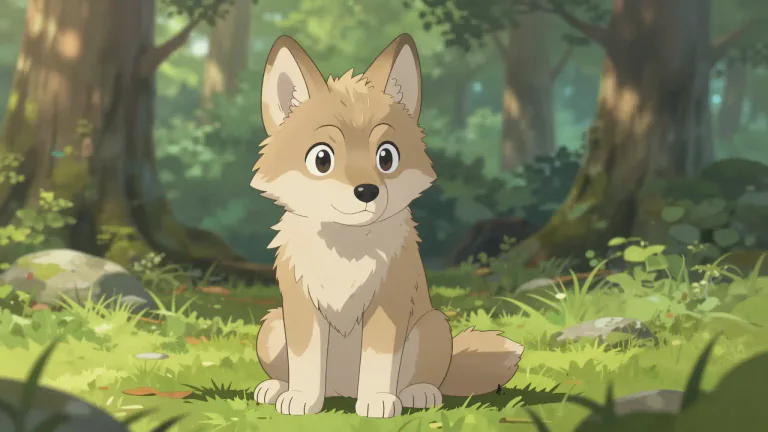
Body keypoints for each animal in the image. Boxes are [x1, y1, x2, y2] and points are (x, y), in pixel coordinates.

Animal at [250, 33, 524, 418]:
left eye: (386, 156)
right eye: (322, 159)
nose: (367, 191)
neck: (345, 248)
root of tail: (342, 392)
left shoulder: (388, 304)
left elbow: (379, 361)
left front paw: (379, 401)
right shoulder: (302, 306)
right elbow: (304, 360)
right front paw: (301, 399)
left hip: (434, 325)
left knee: (423, 379)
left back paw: (417, 393)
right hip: (273, 324)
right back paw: (277, 388)